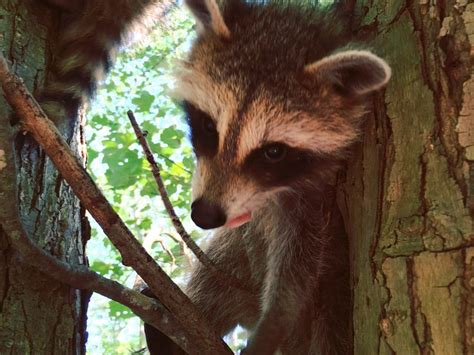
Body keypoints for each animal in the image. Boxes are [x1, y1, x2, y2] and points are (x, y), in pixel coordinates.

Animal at [144, 0, 388, 355]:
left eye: (273, 152)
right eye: (208, 127)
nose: (204, 216)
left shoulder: (317, 198)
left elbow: (300, 262)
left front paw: (274, 322)